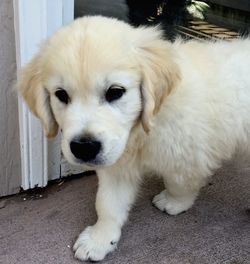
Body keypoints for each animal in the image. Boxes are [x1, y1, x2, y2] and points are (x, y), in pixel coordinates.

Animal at [16, 15, 250, 260]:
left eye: (115, 92)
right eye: (61, 95)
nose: (84, 148)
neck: (143, 129)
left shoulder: (188, 155)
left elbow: (179, 183)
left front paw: (174, 202)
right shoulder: (116, 162)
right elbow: (107, 203)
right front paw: (100, 239)